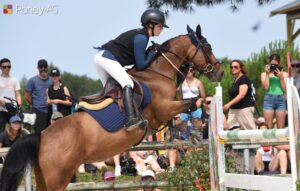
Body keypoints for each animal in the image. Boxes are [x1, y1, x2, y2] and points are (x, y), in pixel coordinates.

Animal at [0, 24, 221, 190]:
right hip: (58, 177)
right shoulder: (163, 109)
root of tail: (42, 136)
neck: (158, 73)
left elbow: (186, 112)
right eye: (208, 47)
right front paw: (193, 133)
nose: (218, 72)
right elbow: (191, 103)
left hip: (47, 178)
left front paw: (188, 135)